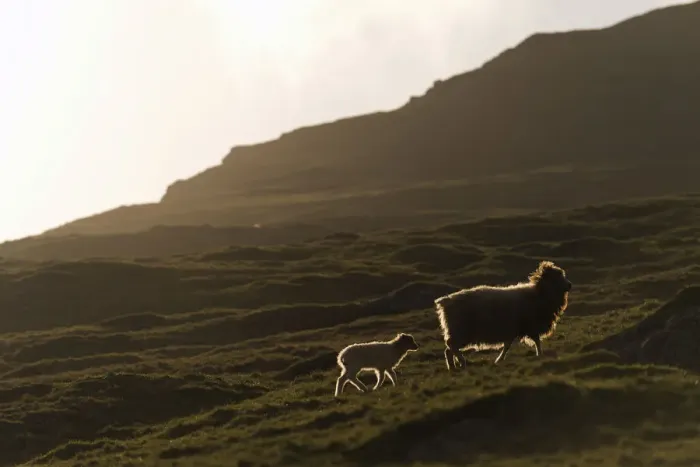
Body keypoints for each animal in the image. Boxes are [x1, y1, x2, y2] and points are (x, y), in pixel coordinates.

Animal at [434, 260, 571, 370]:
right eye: (557, 277)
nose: (570, 285)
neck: (539, 294)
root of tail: (445, 301)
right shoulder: (530, 325)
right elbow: (536, 341)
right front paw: (540, 354)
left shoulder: (513, 329)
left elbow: (507, 345)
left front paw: (499, 359)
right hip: (461, 331)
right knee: (451, 347)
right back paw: (461, 363)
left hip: (459, 332)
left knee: (449, 349)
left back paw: (453, 367)